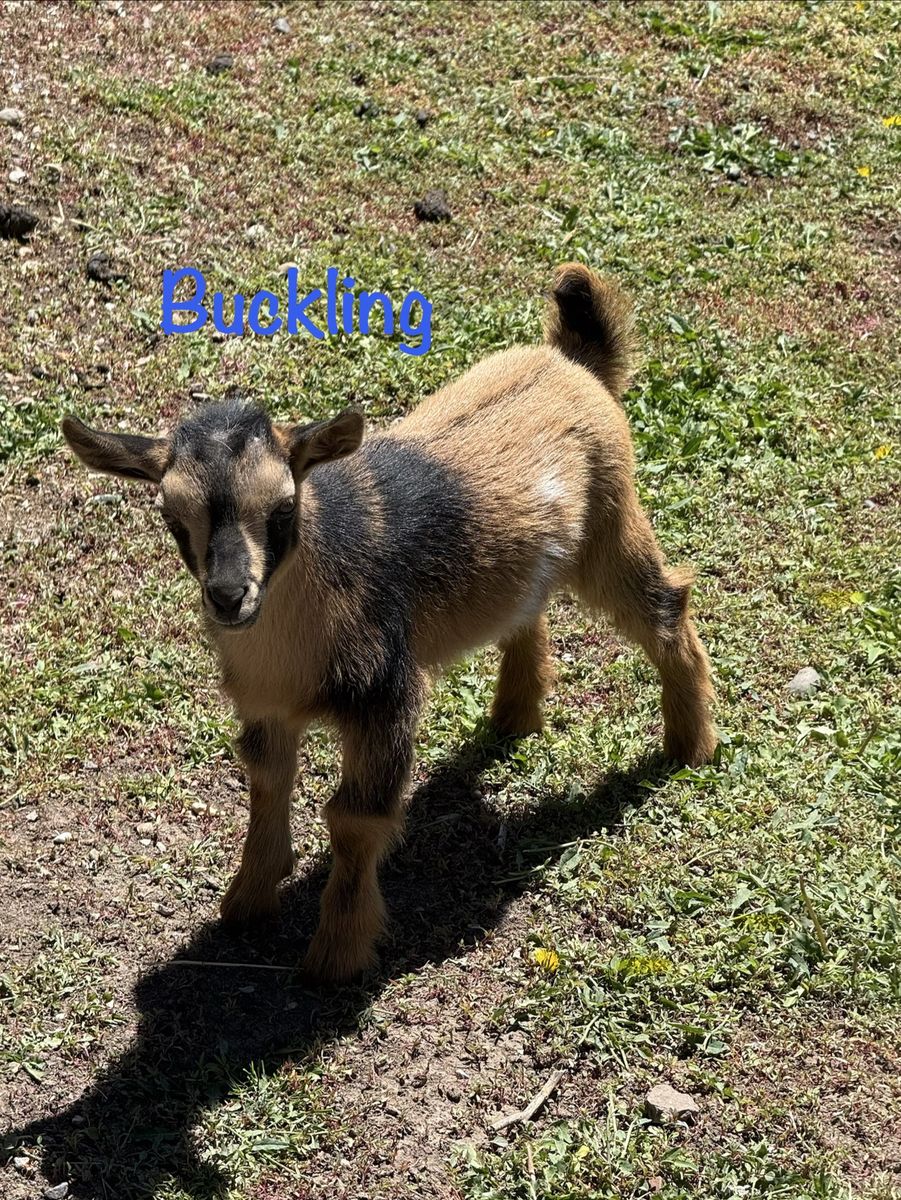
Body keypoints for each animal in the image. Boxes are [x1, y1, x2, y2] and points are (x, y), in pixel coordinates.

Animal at [62, 263, 716, 982]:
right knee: (528, 607)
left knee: (665, 605)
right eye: (171, 516)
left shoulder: (387, 693)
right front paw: (245, 903)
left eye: (283, 507)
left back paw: (689, 747)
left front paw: (337, 955)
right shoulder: (264, 701)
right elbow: (266, 781)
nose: (230, 596)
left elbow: (354, 819)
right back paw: (514, 717)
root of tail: (572, 361)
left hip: (610, 523)